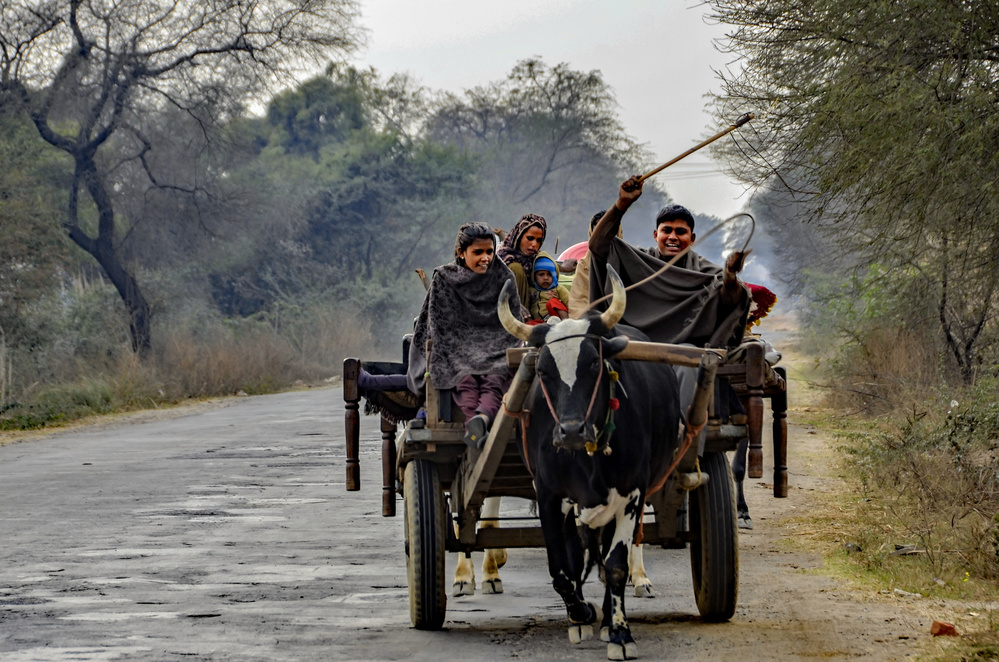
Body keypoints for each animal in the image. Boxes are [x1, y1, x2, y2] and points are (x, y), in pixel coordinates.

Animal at [498, 268, 682, 661]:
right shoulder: (549, 496)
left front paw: (620, 634)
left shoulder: (631, 495)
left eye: (594, 363)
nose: (570, 431)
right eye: (544, 371)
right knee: (575, 555)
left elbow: (616, 566)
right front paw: (581, 614)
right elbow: (561, 568)